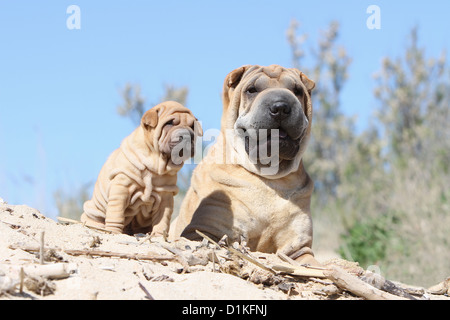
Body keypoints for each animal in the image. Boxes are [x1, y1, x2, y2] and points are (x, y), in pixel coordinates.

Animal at [81, 100, 203, 235]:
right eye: (169, 123)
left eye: (192, 127)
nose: (187, 135)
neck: (156, 163)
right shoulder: (121, 187)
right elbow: (116, 213)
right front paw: (113, 231)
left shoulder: (166, 195)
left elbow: (163, 219)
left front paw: (159, 235)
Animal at [171, 64, 318, 264]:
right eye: (252, 90)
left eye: (297, 91)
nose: (281, 107)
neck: (269, 178)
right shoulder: (202, 230)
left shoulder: (298, 248)